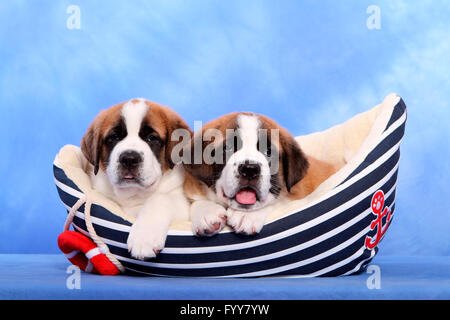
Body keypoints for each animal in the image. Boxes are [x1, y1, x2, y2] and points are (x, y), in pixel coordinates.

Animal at [81, 98, 192, 260]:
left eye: (152, 138)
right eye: (114, 138)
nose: (129, 159)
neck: (134, 194)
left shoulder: (182, 204)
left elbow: (159, 199)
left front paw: (144, 237)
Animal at [183, 112, 338, 235]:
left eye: (268, 151)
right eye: (227, 148)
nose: (249, 169)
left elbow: (278, 203)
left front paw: (246, 216)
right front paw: (206, 211)